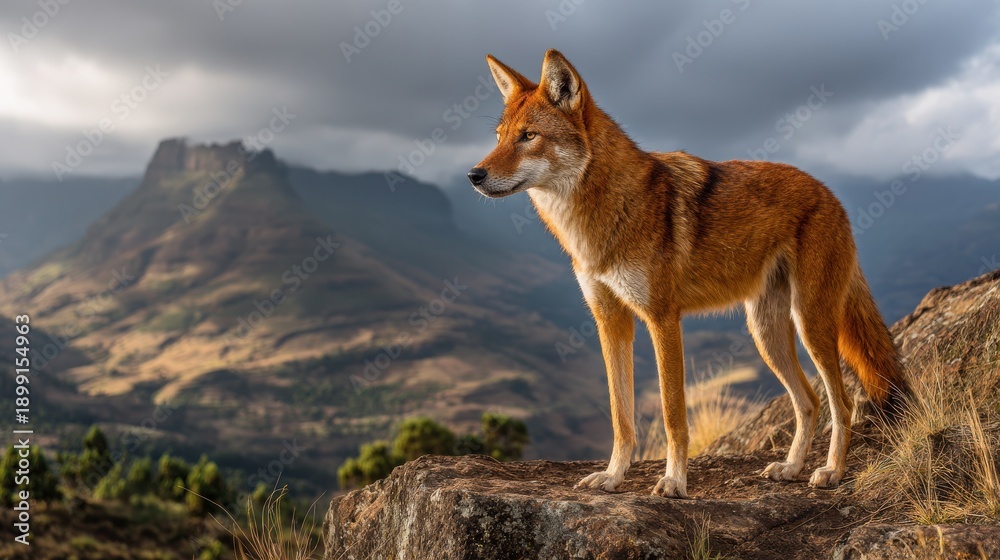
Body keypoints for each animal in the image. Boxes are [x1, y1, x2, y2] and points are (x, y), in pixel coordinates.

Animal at [467, 50, 907, 497]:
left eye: (528, 136)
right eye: (500, 136)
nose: (474, 175)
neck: (601, 218)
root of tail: (831, 195)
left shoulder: (663, 319)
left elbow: (672, 412)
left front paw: (674, 481)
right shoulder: (611, 322)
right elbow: (620, 415)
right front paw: (613, 476)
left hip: (811, 325)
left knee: (842, 403)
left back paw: (831, 471)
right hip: (766, 333)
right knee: (808, 401)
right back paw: (791, 468)